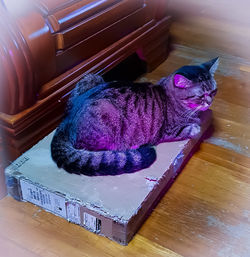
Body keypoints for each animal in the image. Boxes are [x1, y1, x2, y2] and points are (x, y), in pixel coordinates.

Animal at [49, 57, 218, 175]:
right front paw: (195, 125)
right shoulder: (168, 130)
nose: (209, 102)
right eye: (200, 96)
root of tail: (64, 123)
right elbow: (190, 128)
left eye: (213, 92)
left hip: (92, 77)